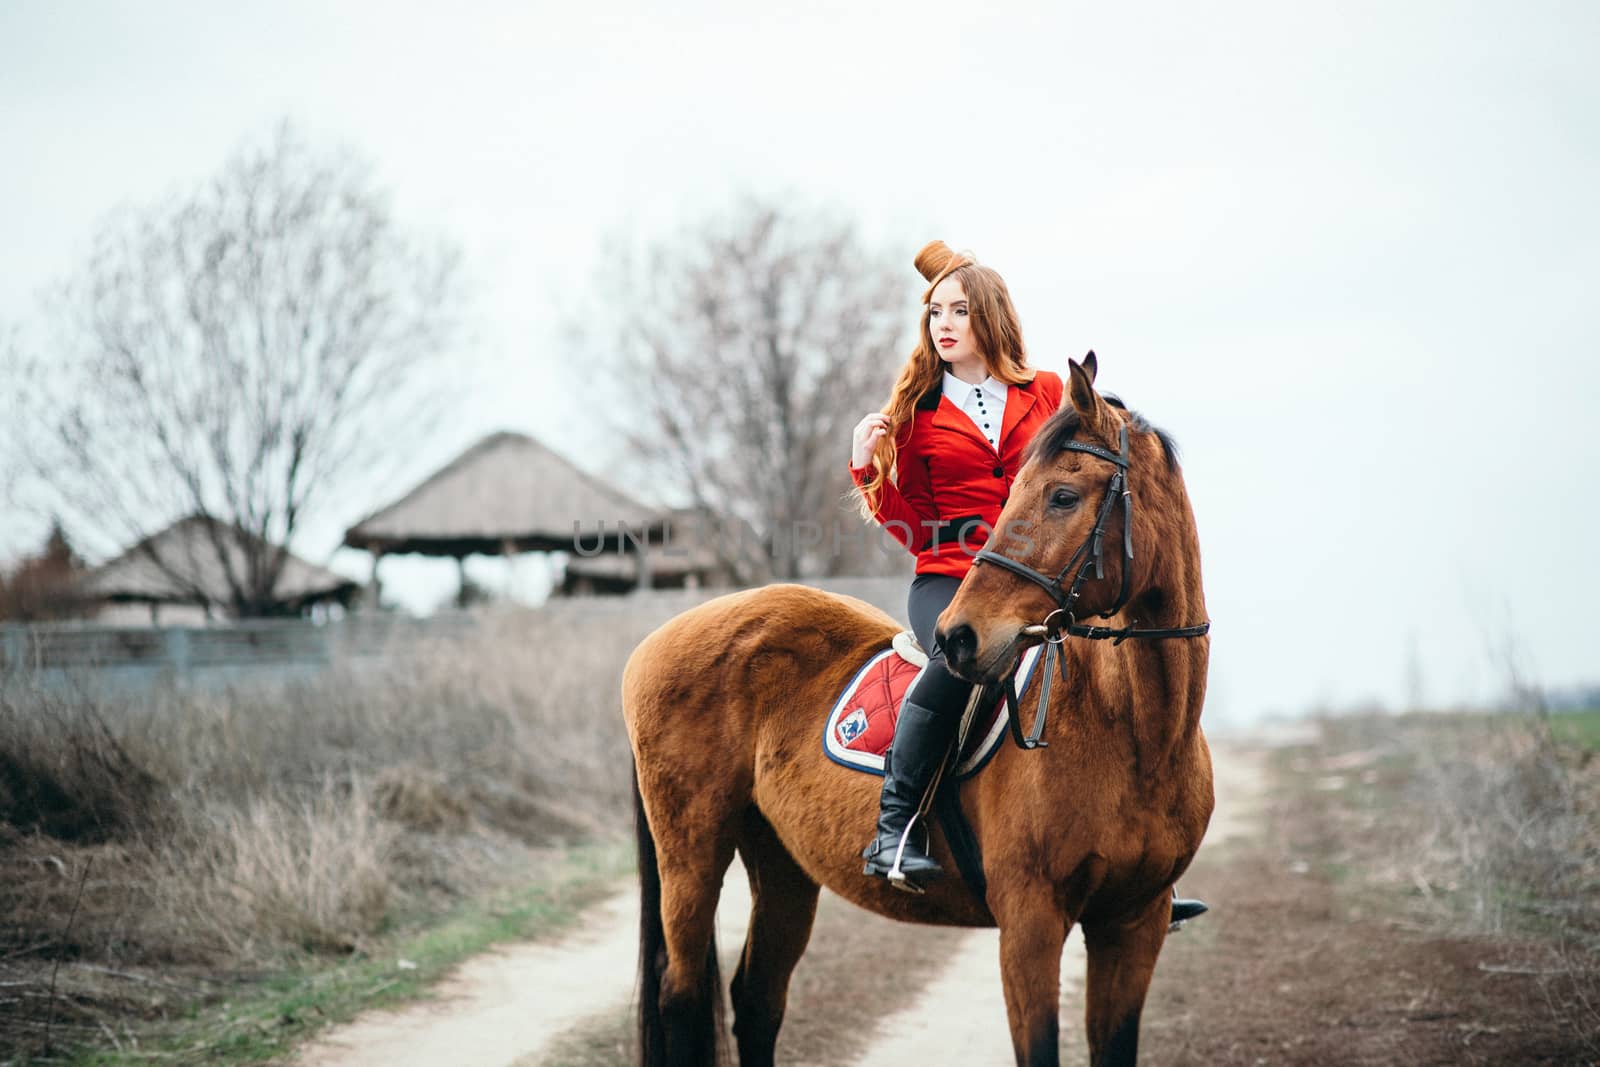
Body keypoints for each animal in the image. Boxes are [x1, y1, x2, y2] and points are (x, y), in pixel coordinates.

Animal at [617, 356, 1203, 1067]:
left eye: (1063, 497)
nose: (958, 637)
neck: (1135, 734)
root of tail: (657, 639)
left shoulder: (1135, 924)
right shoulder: (1030, 924)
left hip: (781, 864)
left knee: (757, 1000)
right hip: (692, 855)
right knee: (680, 998)